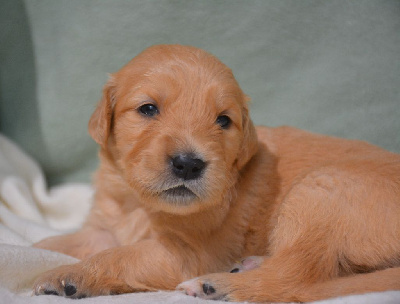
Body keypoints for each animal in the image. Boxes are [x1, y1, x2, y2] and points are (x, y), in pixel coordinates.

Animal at [33, 43, 400, 302]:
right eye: (148, 109)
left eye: (223, 120)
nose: (188, 163)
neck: (139, 203)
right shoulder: (104, 227)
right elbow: (70, 240)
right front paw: (39, 247)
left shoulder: (189, 255)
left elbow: (120, 255)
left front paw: (69, 274)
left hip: (318, 191)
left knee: (296, 277)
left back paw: (217, 285)